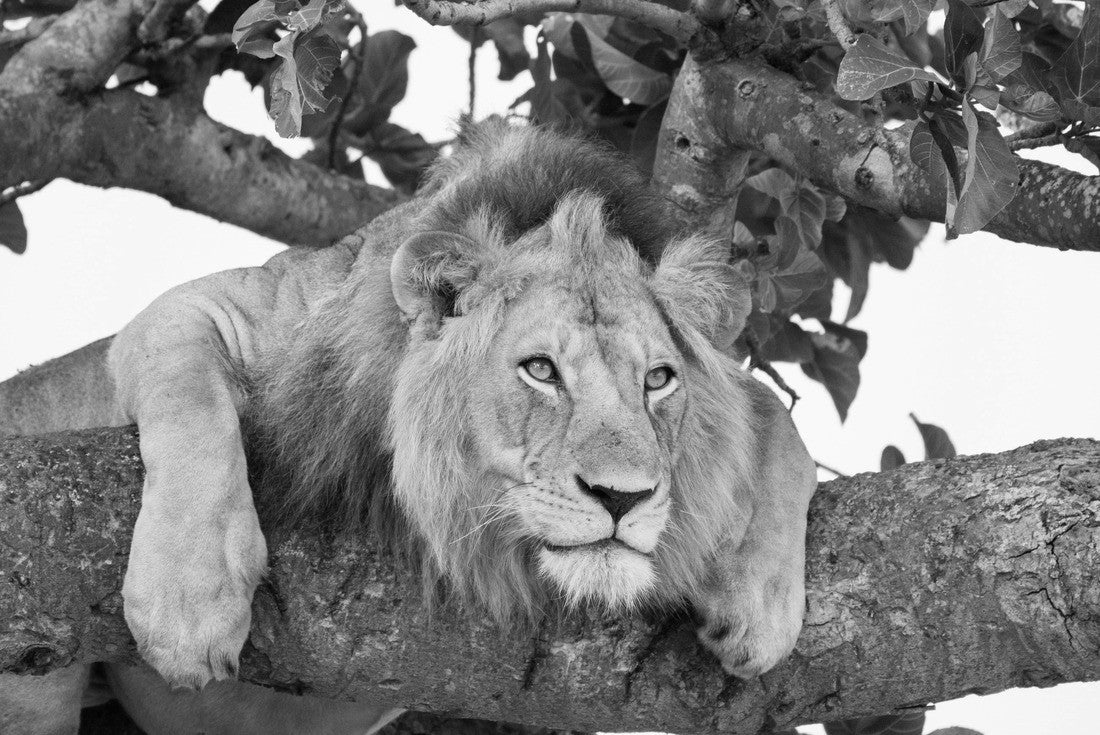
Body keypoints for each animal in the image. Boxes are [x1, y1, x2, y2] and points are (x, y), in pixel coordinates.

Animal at [0, 120, 817, 735]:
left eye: (658, 380)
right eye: (541, 369)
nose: (623, 498)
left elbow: (775, 416)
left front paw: (759, 604)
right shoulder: (199, 312)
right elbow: (191, 399)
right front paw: (189, 602)